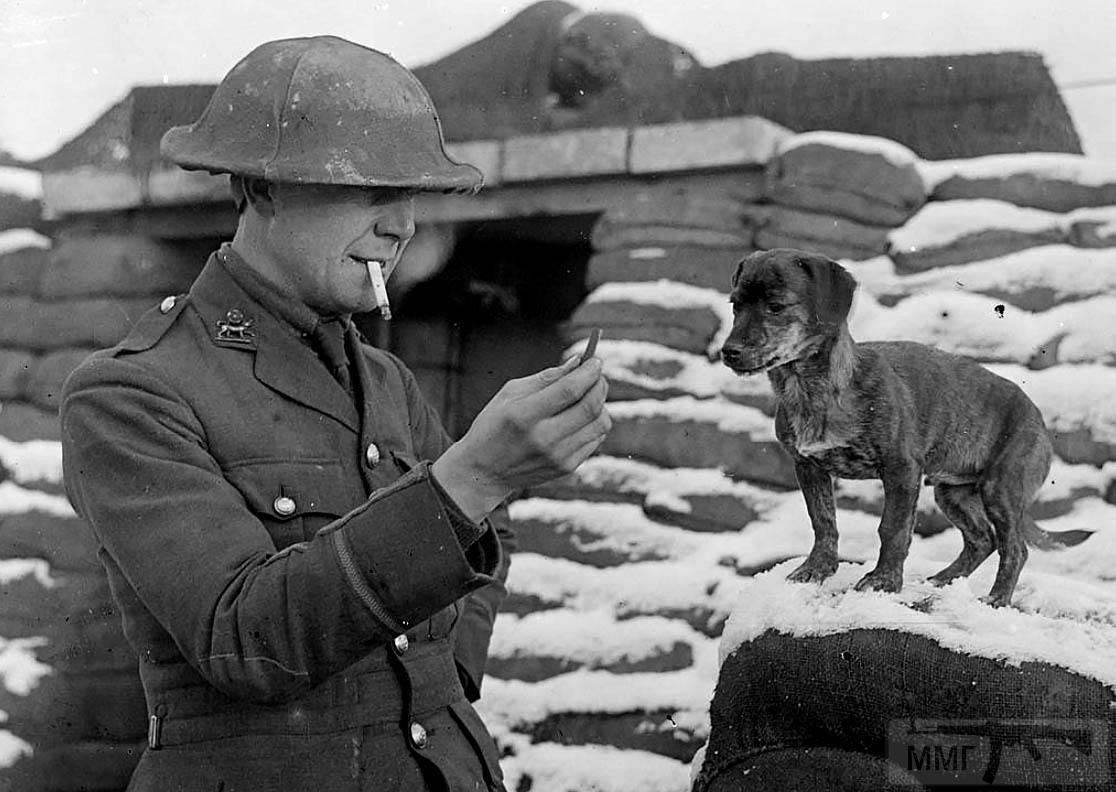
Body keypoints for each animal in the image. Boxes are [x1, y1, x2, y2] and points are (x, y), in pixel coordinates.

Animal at [714, 247, 1089, 606]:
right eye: (735, 306)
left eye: (776, 306)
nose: (728, 352)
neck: (812, 388)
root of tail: (1038, 418)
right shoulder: (808, 467)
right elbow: (823, 522)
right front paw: (816, 570)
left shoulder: (901, 470)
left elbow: (892, 529)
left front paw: (883, 582)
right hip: (952, 493)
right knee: (982, 540)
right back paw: (942, 580)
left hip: (1001, 489)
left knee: (1014, 549)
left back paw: (996, 599)